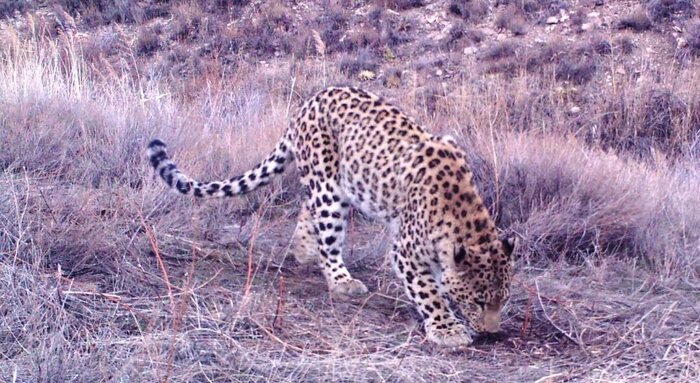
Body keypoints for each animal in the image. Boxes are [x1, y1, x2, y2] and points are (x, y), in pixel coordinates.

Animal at [148, 87, 516, 348]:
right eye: (479, 301)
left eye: (503, 300)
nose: (492, 333)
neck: (463, 216)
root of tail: (309, 101)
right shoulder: (406, 251)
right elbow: (429, 292)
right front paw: (448, 328)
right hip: (328, 188)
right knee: (327, 234)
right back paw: (340, 279)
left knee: (307, 209)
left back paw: (304, 251)